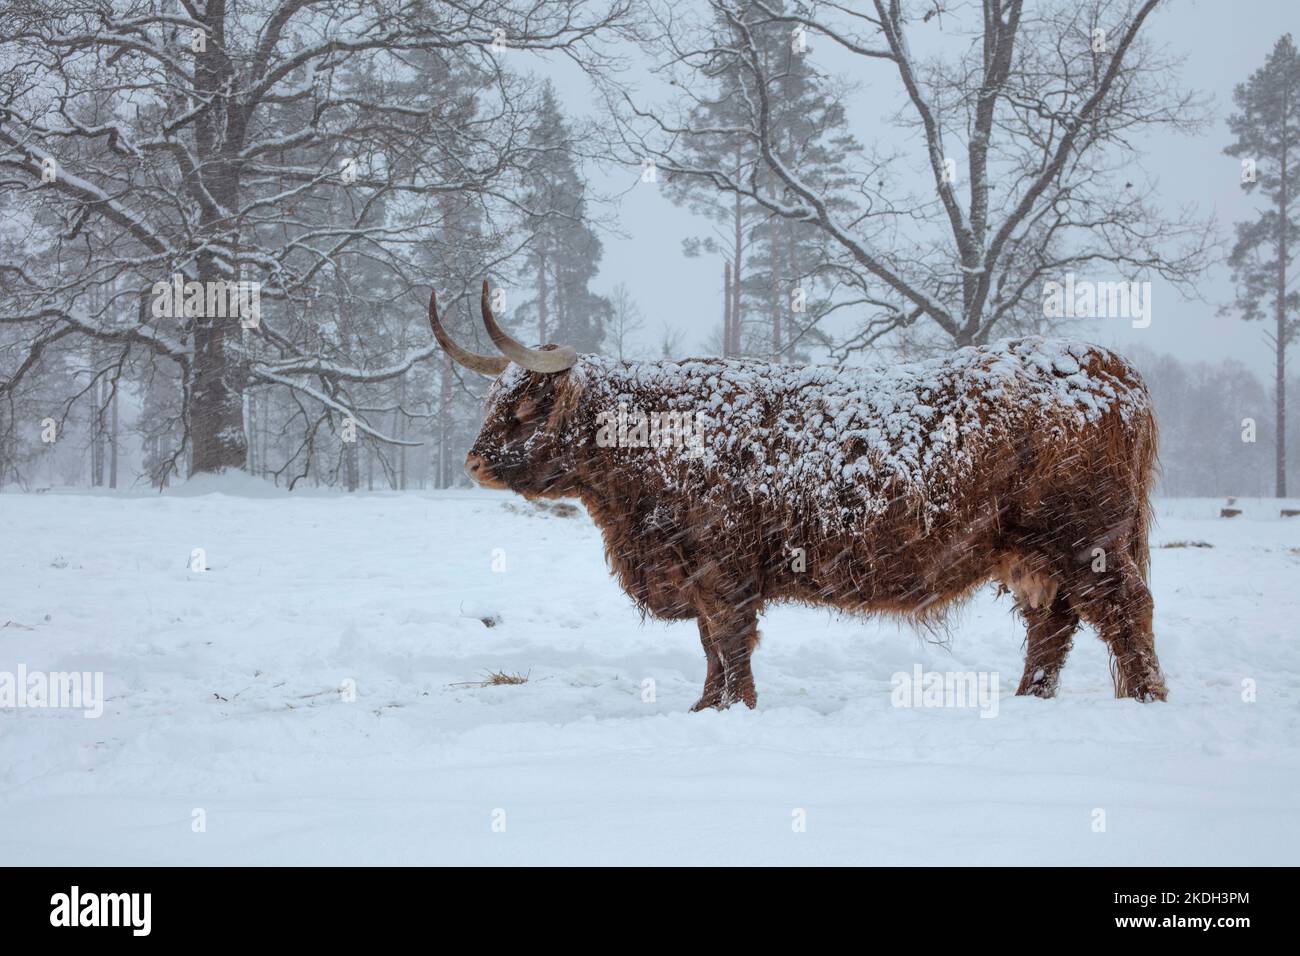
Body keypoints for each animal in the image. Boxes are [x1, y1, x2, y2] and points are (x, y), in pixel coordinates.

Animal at [434, 282, 1170, 712]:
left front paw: (734, 709)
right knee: (1055, 626)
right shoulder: (698, 571)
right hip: (1037, 552)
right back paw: (1027, 701)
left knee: (1123, 613)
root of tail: (1105, 362)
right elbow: (709, 646)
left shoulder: (721, 569)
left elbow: (728, 642)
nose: (473, 461)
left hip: (1087, 541)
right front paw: (706, 708)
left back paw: (1145, 699)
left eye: (529, 403)